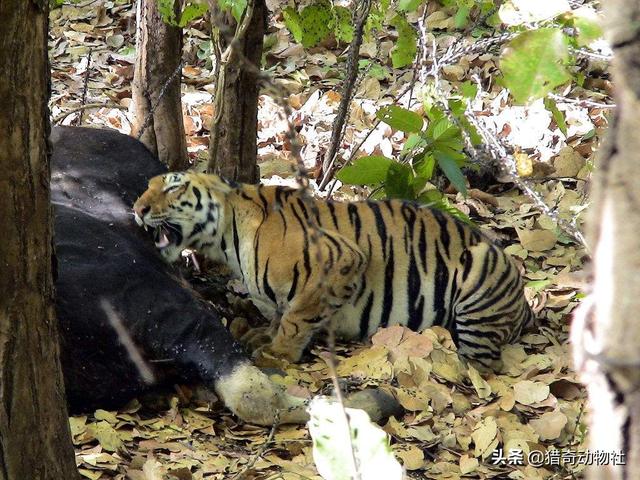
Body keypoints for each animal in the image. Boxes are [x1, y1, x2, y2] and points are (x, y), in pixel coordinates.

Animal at [135, 172, 536, 368]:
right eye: (147, 186)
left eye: (172, 188)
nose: (138, 208)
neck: (227, 237)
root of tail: (525, 303)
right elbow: (280, 313)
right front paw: (264, 336)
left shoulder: (340, 259)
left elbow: (296, 318)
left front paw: (278, 352)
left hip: (478, 278)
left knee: (482, 364)